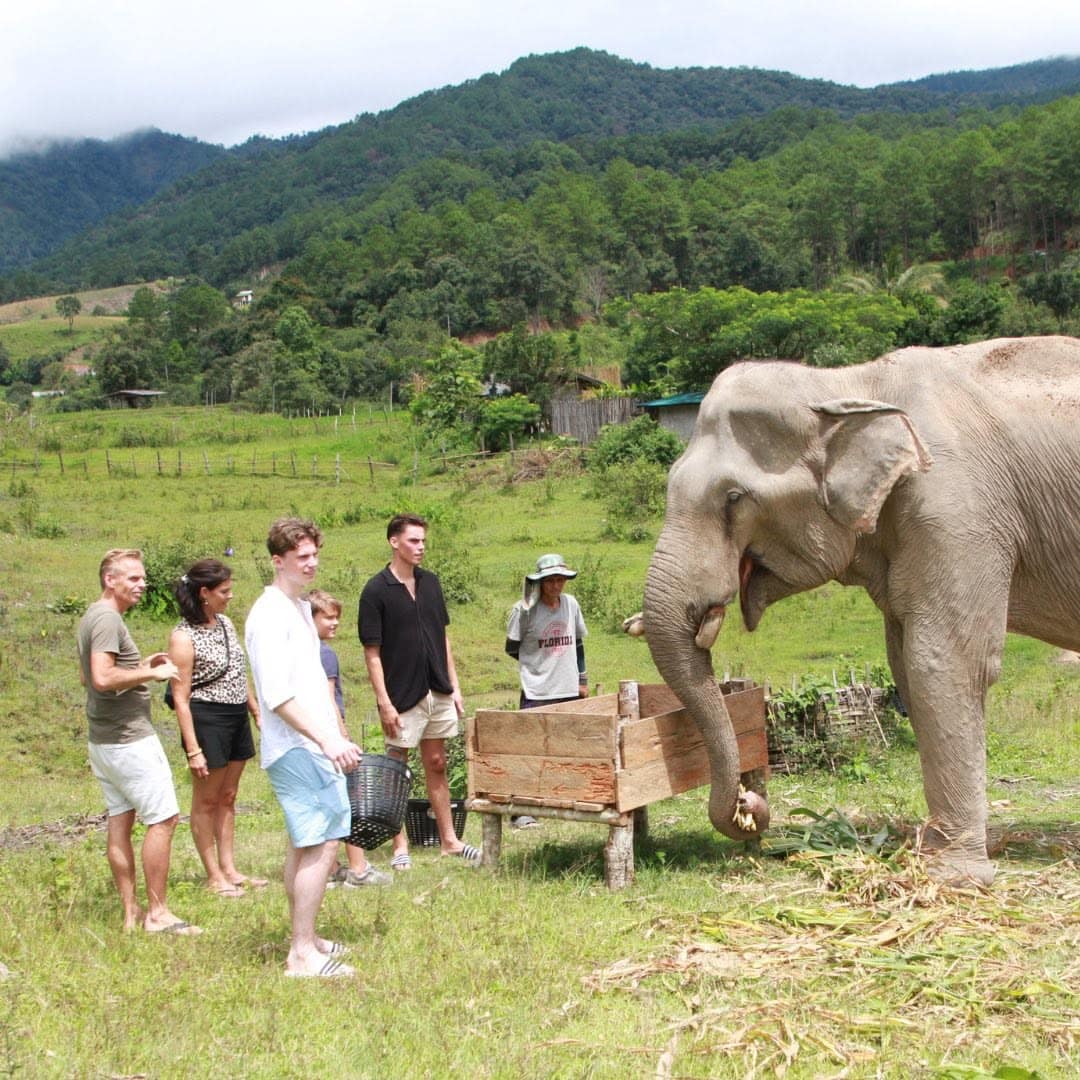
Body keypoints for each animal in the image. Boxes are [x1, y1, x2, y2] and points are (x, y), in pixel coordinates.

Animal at [638, 336, 1080, 886]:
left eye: (734, 497)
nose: (751, 805)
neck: (848, 383)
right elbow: (903, 662)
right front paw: (928, 850)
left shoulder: (959, 512)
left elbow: (946, 661)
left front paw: (951, 877)